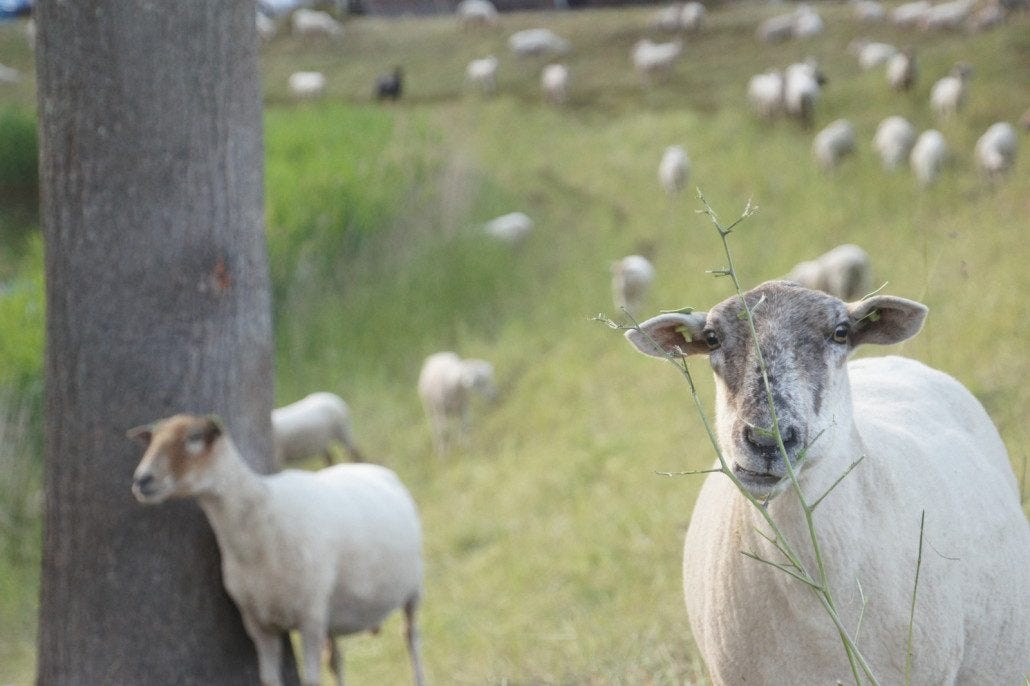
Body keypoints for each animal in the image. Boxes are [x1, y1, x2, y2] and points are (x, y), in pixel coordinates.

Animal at [130, 415, 425, 686]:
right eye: (151, 440)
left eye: (194, 437)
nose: (141, 480)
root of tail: (372, 468)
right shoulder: (258, 624)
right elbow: (269, 679)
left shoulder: (309, 617)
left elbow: (311, 680)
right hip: (330, 606)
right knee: (336, 658)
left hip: (412, 587)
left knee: (411, 635)